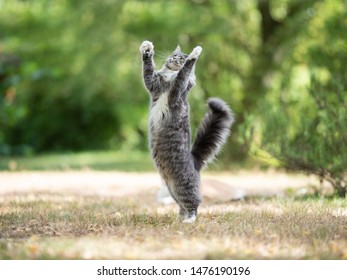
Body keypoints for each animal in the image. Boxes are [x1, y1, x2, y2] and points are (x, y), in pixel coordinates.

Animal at [140, 40, 235, 223]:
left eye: (181, 58)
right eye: (174, 55)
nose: (175, 58)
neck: (169, 76)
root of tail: (194, 160)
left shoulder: (177, 89)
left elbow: (184, 72)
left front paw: (194, 53)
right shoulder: (154, 84)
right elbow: (148, 69)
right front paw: (147, 49)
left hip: (183, 186)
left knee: (194, 204)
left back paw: (189, 220)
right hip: (172, 188)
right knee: (182, 205)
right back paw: (179, 219)